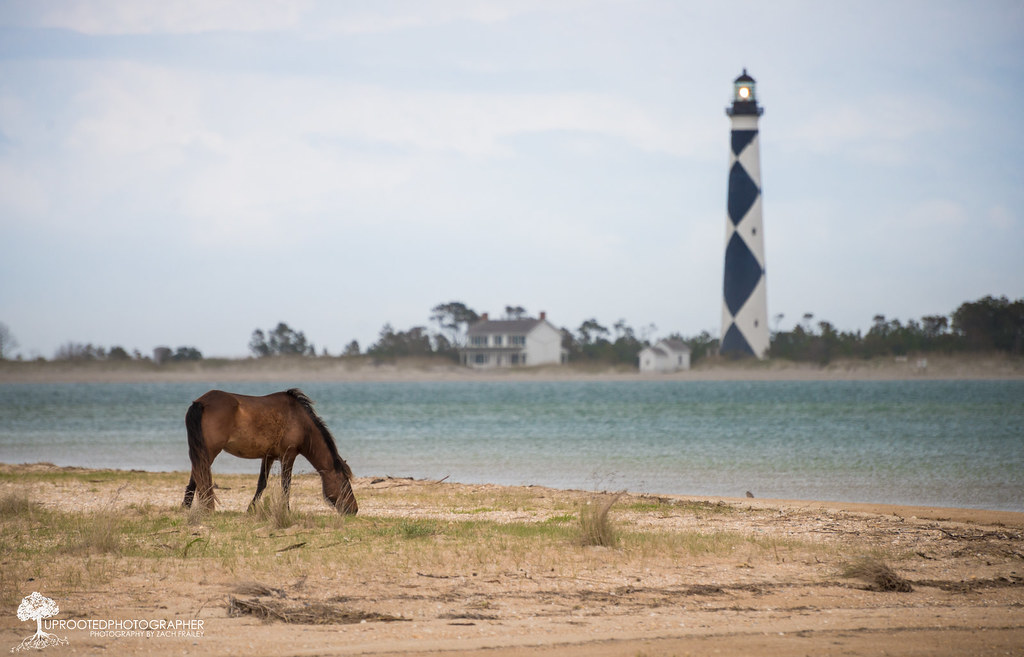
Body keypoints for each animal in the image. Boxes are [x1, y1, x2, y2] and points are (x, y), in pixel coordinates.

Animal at [182, 386, 358, 513]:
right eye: (345, 483)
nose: (354, 509)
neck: (300, 421)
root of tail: (201, 402)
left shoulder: (269, 456)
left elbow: (262, 483)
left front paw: (251, 509)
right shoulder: (289, 455)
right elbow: (286, 484)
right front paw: (286, 510)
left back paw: (185, 507)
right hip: (209, 451)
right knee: (198, 475)